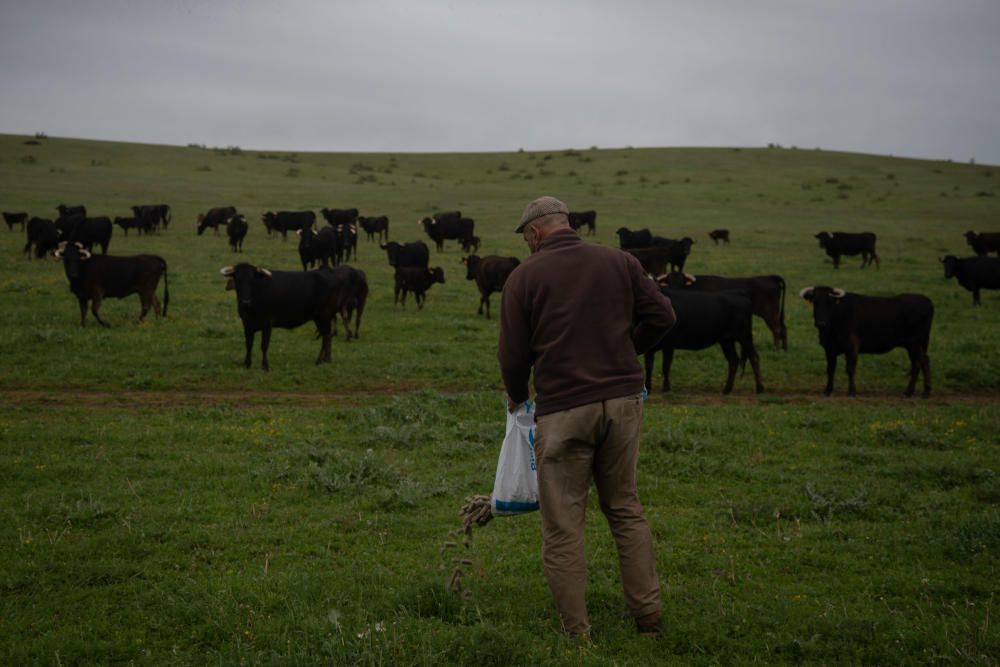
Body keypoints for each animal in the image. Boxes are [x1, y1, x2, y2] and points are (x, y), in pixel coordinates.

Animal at [800, 286, 932, 396]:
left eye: (829, 302)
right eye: (815, 302)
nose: (821, 323)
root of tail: (926, 300)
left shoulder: (852, 347)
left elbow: (850, 369)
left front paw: (852, 391)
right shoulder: (829, 348)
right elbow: (830, 369)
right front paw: (828, 390)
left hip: (914, 344)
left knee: (919, 363)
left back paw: (914, 392)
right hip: (916, 345)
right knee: (922, 362)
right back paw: (922, 391)